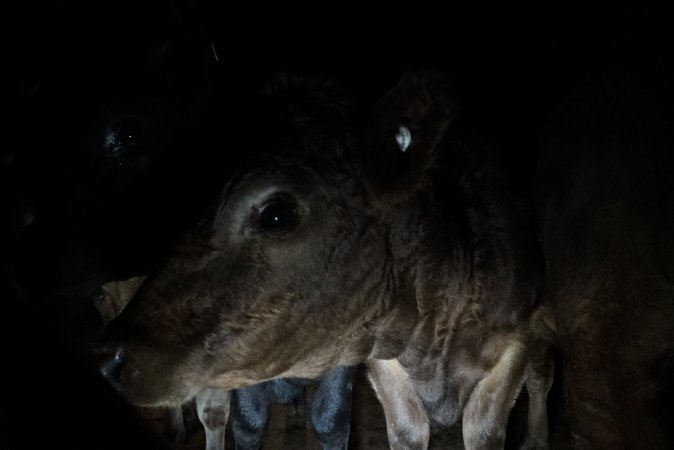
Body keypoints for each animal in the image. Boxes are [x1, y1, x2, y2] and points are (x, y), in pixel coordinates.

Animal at [97, 72, 552, 448]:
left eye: (277, 213)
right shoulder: (382, 362)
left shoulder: (519, 337)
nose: (109, 354)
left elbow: (484, 430)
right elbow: (404, 431)